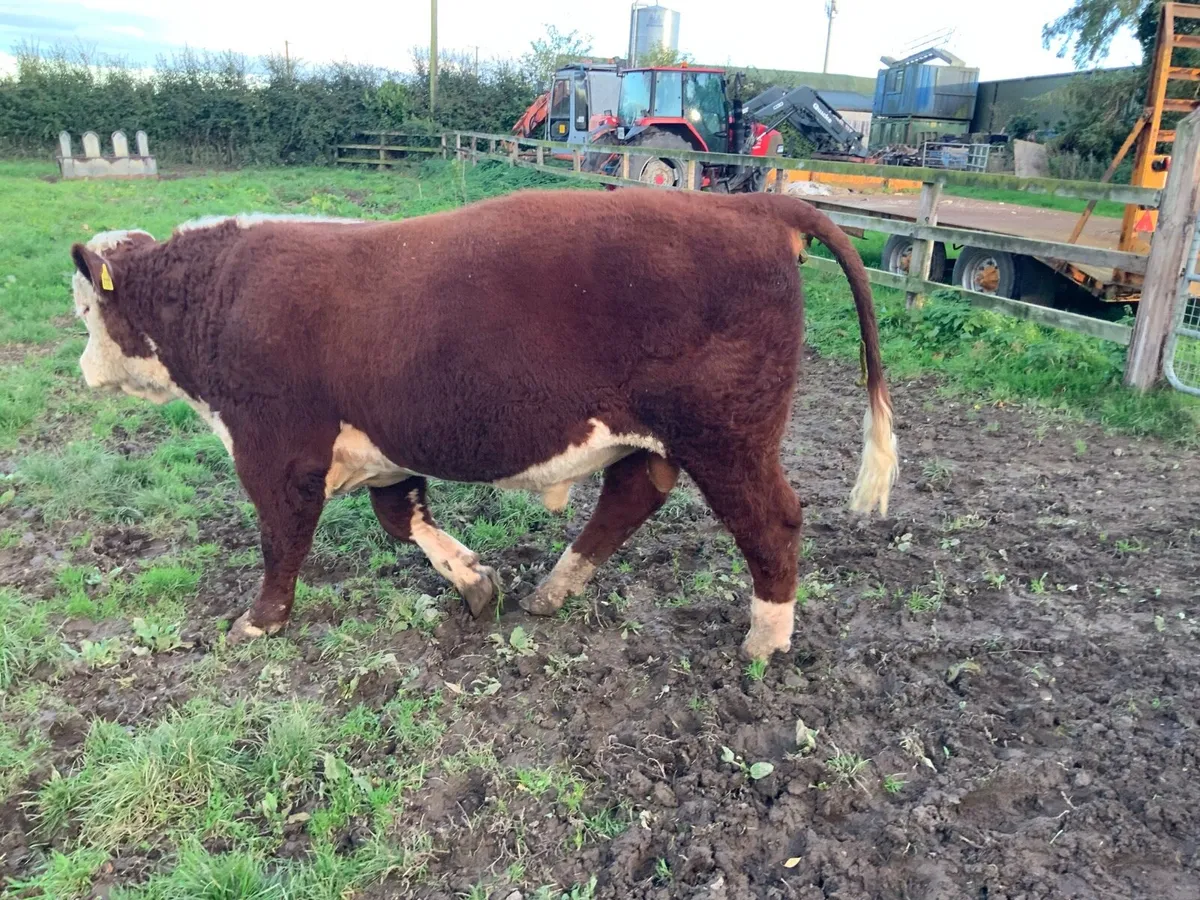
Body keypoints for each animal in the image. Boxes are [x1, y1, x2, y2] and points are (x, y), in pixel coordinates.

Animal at [69, 187, 897, 660]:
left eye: (84, 309)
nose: (81, 369)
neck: (219, 295)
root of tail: (757, 205)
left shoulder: (276, 450)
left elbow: (282, 537)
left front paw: (259, 623)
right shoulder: (386, 441)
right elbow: (401, 517)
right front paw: (476, 584)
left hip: (729, 438)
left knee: (773, 523)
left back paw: (766, 641)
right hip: (662, 433)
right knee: (632, 495)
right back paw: (554, 589)